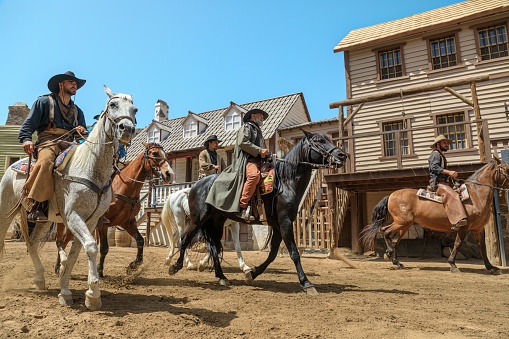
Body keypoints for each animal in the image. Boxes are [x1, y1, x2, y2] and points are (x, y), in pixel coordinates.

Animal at [0, 85, 137, 310]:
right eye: (113, 104)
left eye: (134, 109)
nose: (126, 128)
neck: (91, 167)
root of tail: (13, 165)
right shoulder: (73, 216)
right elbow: (90, 247)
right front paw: (92, 291)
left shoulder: (90, 221)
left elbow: (75, 254)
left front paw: (69, 291)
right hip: (5, 211)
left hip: (44, 220)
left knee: (32, 244)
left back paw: (40, 279)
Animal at [56, 142, 173, 278]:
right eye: (154, 153)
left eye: (166, 154)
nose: (169, 174)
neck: (125, 188)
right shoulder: (103, 224)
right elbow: (104, 248)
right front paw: (100, 270)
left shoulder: (128, 222)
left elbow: (140, 241)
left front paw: (134, 265)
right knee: (63, 241)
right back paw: (59, 267)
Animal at [169, 130, 348, 294]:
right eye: (318, 140)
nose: (342, 155)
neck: (285, 182)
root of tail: (196, 186)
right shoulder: (285, 222)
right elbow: (294, 252)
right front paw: (306, 283)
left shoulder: (278, 225)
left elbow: (273, 254)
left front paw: (251, 274)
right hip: (198, 219)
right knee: (184, 238)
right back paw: (176, 266)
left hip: (216, 222)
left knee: (213, 245)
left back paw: (221, 277)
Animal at [362, 158, 508, 274]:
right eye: (506, 169)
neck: (475, 195)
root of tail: (391, 195)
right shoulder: (463, 227)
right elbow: (458, 244)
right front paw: (453, 264)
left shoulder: (477, 229)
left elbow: (482, 247)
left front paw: (491, 267)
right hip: (401, 222)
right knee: (385, 231)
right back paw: (388, 253)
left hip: (405, 225)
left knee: (395, 241)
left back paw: (397, 262)